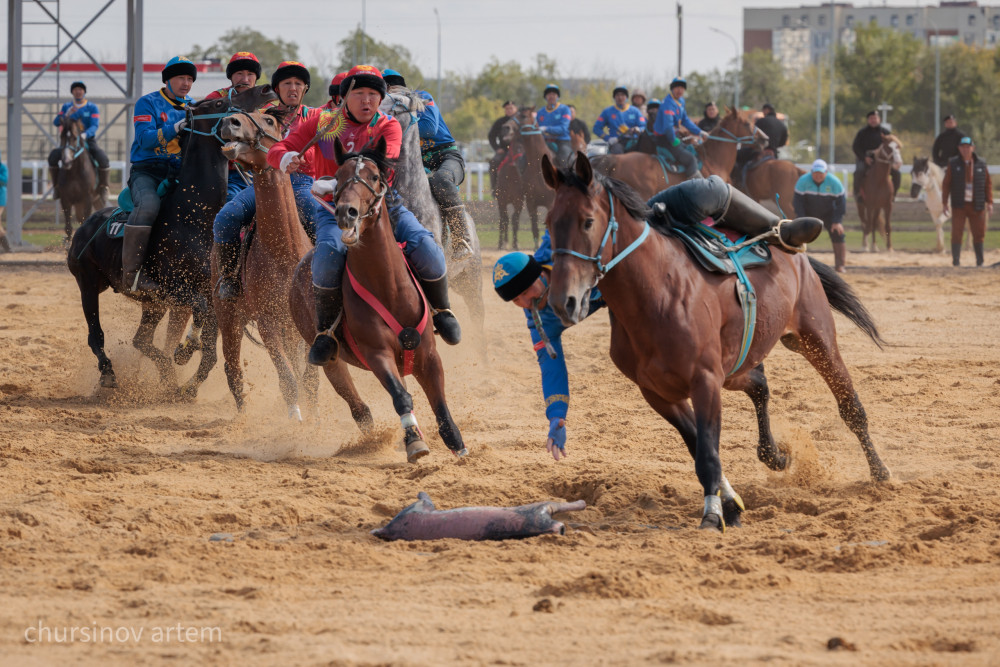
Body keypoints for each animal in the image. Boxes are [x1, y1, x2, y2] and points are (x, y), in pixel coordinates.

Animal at [540, 154, 892, 536]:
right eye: (549, 222)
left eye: (588, 221)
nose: (564, 301)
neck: (658, 292)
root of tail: (795, 256)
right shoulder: (659, 394)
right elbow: (700, 448)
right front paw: (731, 507)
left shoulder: (705, 381)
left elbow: (708, 454)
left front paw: (712, 515)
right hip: (738, 365)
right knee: (760, 386)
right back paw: (774, 455)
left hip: (815, 338)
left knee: (851, 407)